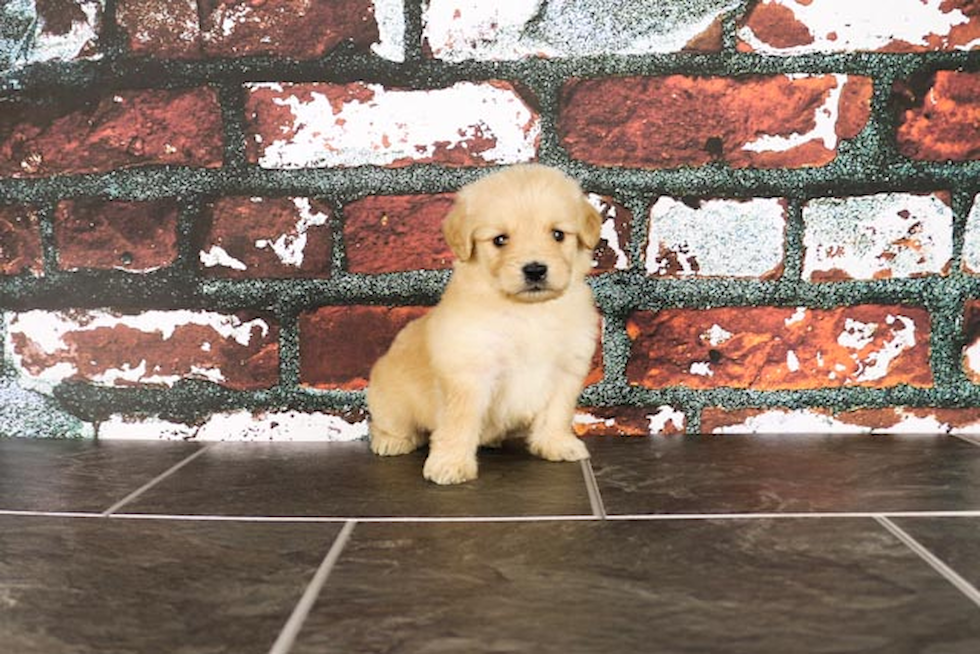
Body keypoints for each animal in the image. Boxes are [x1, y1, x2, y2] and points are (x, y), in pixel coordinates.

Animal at [366, 164, 600, 484]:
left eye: (558, 234)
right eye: (500, 239)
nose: (535, 270)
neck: (529, 312)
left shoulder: (566, 369)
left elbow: (557, 412)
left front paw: (556, 443)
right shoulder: (469, 371)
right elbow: (459, 422)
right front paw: (450, 464)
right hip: (391, 400)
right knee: (387, 425)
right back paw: (390, 441)